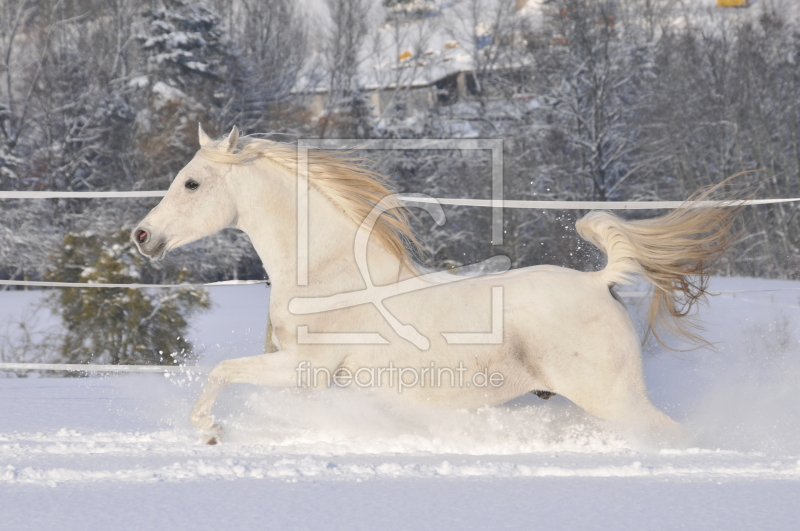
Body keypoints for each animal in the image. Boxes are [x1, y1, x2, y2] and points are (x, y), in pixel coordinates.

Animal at [133, 127, 744, 446]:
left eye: (192, 182)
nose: (142, 236)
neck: (332, 275)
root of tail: (600, 282)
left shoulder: (304, 368)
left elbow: (219, 372)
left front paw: (209, 431)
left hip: (614, 399)